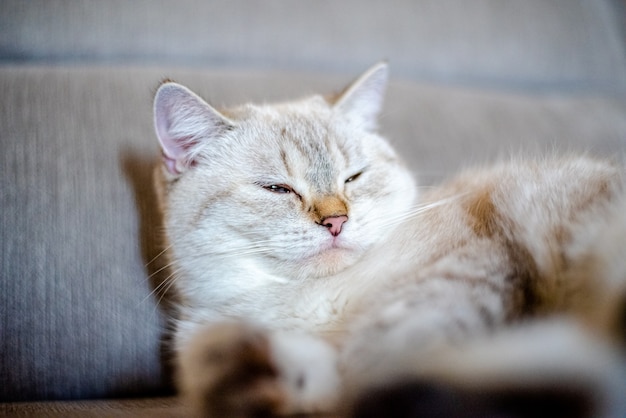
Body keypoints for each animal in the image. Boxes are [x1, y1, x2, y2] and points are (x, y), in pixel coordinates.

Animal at [151, 62, 624, 418]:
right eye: (277, 189)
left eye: (354, 177)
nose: (336, 221)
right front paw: (253, 378)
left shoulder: (470, 267)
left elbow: (389, 345)